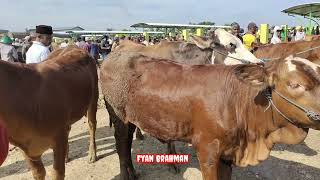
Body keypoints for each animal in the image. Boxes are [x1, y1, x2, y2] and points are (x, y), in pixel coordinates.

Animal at [0, 46, 99, 180]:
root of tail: (73, 46)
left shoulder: (58, 138)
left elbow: (57, 173)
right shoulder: (24, 147)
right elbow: (38, 173)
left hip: (93, 98)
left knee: (91, 125)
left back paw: (92, 154)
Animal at [101, 51, 320, 180]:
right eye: (295, 84)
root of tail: (115, 54)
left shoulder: (227, 153)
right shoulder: (207, 151)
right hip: (119, 116)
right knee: (122, 146)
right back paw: (126, 175)